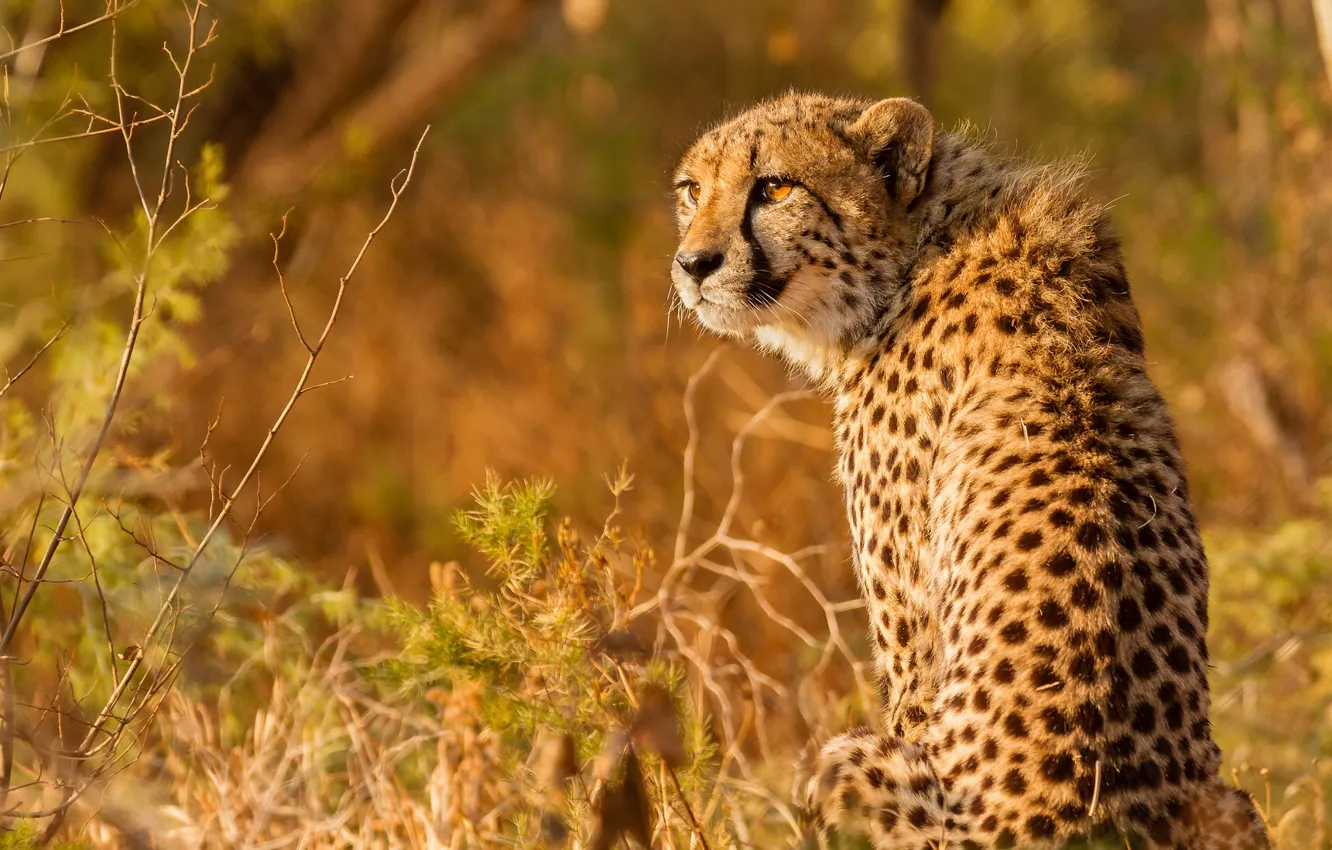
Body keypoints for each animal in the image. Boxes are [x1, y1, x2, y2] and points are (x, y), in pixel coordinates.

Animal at [668, 92, 1270, 849]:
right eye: (692, 191)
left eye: (774, 188)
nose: (694, 263)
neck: (918, 250)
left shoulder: (912, 643)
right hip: (1233, 803)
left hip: (847, 764)